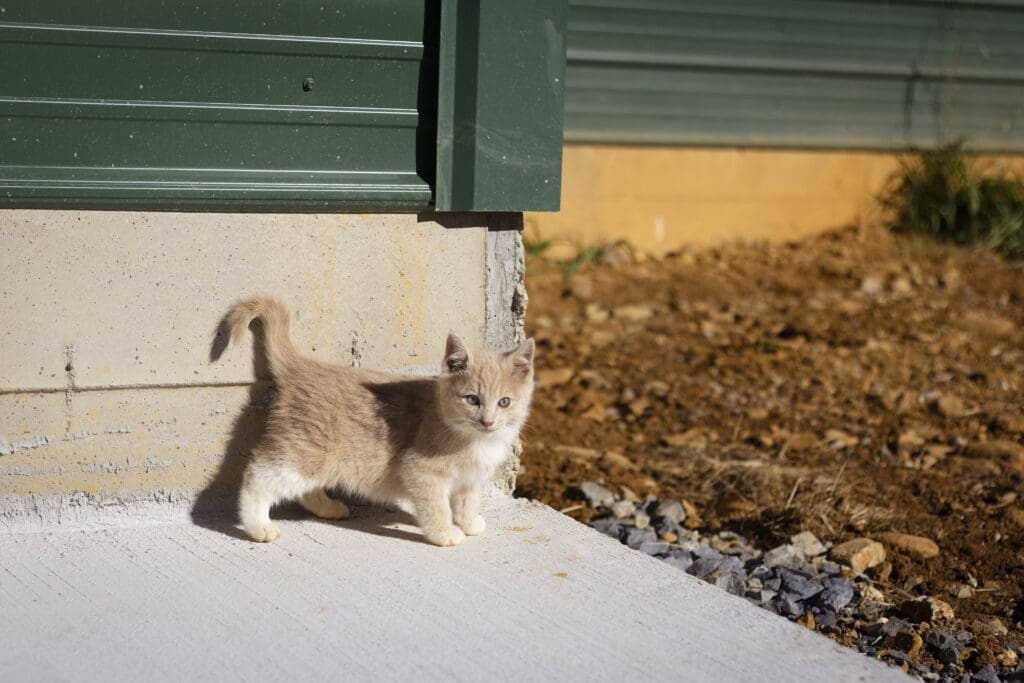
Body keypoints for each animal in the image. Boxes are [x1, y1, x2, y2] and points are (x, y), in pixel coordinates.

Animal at [218, 296, 536, 548]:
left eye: (504, 402)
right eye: (472, 399)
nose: (488, 421)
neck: (476, 439)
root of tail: (304, 366)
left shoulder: (469, 479)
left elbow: (467, 502)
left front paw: (469, 523)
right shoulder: (421, 471)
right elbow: (436, 507)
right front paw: (445, 533)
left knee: (303, 489)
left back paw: (327, 507)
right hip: (301, 452)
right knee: (257, 478)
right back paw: (258, 526)